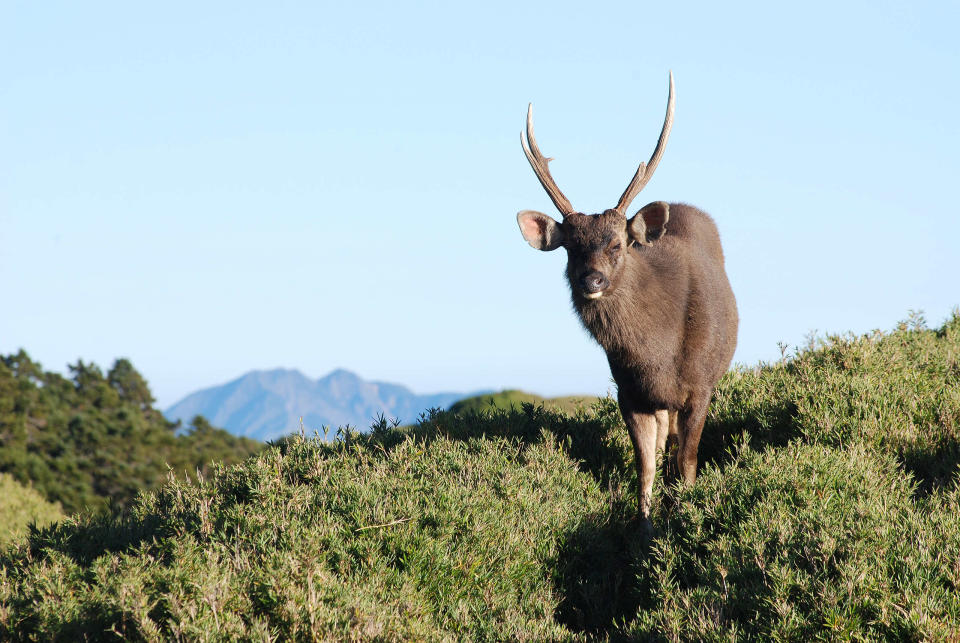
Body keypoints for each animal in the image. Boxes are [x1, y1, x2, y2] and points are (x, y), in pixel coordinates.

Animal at [516, 73, 736, 532]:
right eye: (570, 248)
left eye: (617, 244)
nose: (592, 280)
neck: (658, 356)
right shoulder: (629, 391)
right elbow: (645, 467)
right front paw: (644, 529)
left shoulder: (700, 386)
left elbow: (688, 463)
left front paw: (684, 518)